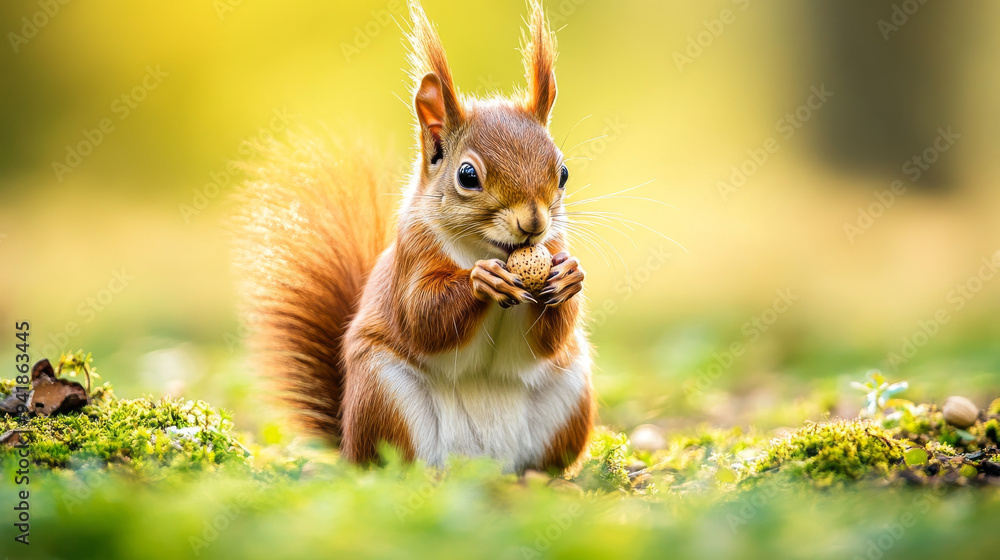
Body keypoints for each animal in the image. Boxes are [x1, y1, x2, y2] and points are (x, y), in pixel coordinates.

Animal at [236, 0, 593, 473]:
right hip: (384, 395)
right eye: (467, 175)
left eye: (563, 173)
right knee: (393, 466)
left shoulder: (550, 250)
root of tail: (480, 464)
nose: (533, 223)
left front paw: (570, 276)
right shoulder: (412, 256)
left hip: (570, 393)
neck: (489, 249)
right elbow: (423, 315)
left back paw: (545, 479)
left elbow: (550, 339)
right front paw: (482, 280)